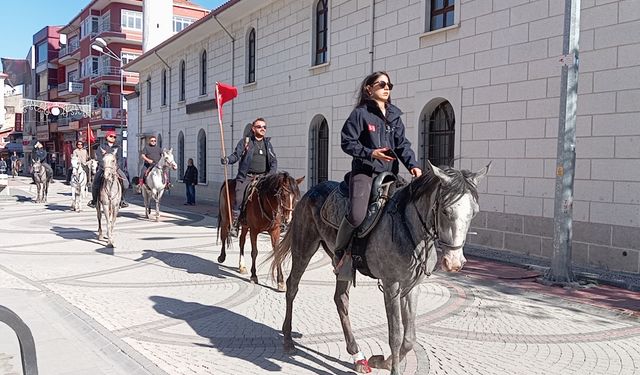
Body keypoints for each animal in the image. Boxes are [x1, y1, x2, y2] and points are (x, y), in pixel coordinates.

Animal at [270, 160, 490, 374]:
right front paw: (391, 367)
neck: (408, 227)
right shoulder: (391, 285)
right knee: (292, 287)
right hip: (304, 249)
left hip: (343, 265)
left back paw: (357, 355)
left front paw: (381, 361)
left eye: (474, 212)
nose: (454, 263)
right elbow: (395, 335)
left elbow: (409, 338)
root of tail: (310, 191)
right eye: (445, 210)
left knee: (340, 299)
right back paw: (288, 340)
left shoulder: (412, 286)